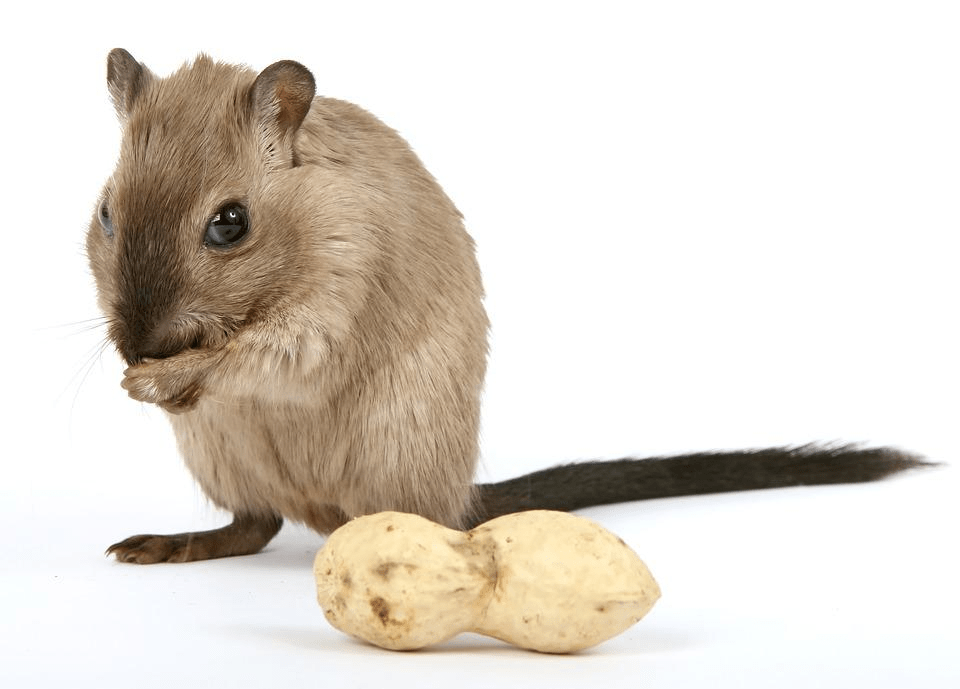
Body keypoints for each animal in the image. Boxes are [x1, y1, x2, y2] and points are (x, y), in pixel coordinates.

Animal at [88, 49, 924, 563]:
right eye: (105, 214)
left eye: (230, 223)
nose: (137, 343)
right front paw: (136, 377)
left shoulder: (328, 307)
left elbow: (265, 353)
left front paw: (158, 379)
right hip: (222, 458)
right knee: (254, 525)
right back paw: (163, 544)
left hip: (393, 450)